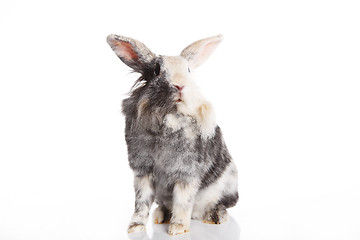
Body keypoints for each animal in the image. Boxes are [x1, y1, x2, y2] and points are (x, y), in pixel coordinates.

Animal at [105, 32, 238, 235]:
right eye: (156, 71)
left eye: (189, 70)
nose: (180, 85)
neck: (168, 116)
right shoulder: (143, 171)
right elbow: (141, 202)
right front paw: (135, 228)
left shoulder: (186, 173)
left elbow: (182, 201)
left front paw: (178, 229)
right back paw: (160, 216)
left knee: (220, 205)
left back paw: (214, 217)